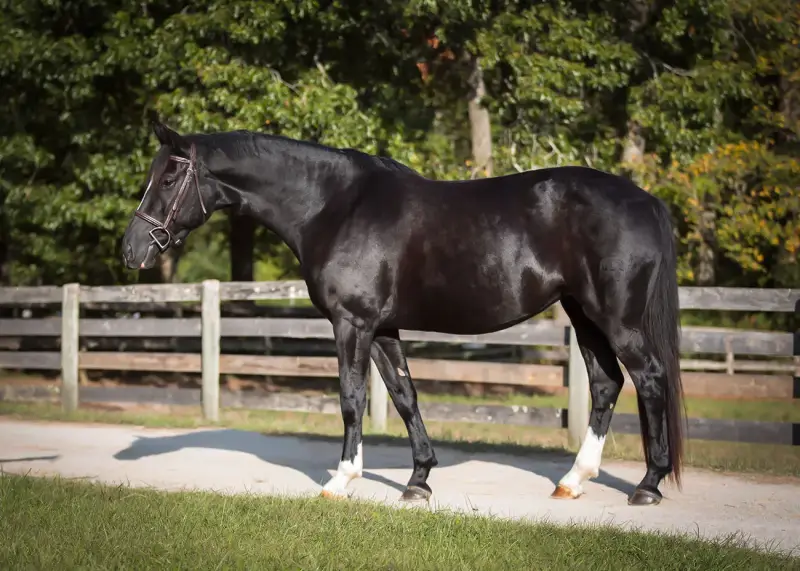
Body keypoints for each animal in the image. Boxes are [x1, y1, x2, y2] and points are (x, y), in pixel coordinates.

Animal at [121, 121, 685, 507]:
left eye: (168, 178)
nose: (132, 250)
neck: (332, 205)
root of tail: (645, 200)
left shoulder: (351, 324)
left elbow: (352, 399)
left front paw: (341, 480)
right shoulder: (383, 327)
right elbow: (404, 396)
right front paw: (418, 481)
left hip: (617, 319)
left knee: (650, 380)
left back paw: (648, 485)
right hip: (583, 315)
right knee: (607, 384)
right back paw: (573, 480)